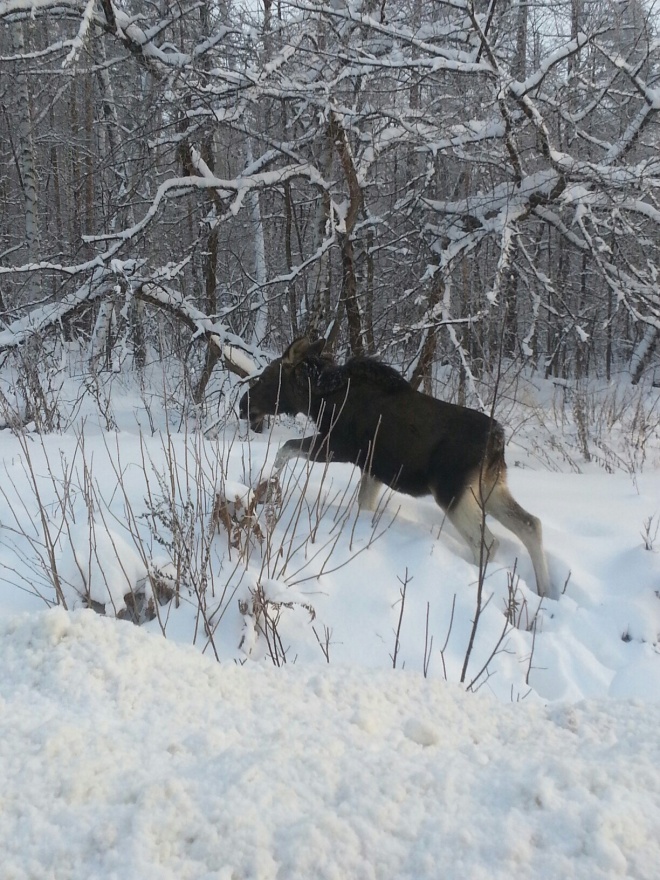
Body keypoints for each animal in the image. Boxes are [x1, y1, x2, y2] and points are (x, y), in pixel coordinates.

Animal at [240, 336, 556, 600]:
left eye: (267, 376)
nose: (243, 404)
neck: (318, 401)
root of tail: (498, 442)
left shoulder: (337, 446)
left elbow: (285, 448)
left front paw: (267, 484)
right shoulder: (372, 469)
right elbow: (364, 503)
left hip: (451, 492)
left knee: (489, 543)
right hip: (490, 487)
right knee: (531, 524)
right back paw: (545, 591)